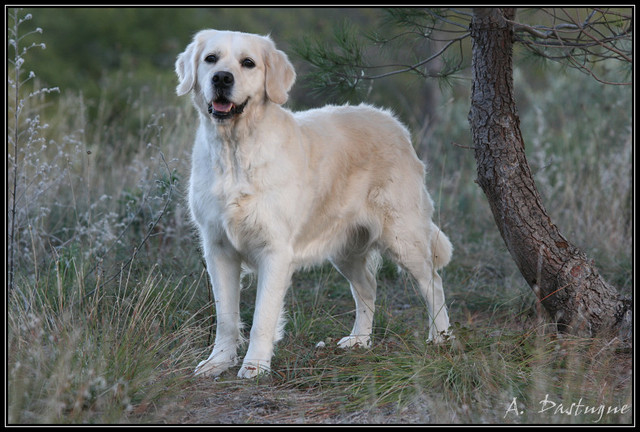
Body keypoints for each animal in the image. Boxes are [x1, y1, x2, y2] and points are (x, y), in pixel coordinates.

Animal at [175, 29, 452, 378]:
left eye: (248, 63)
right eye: (211, 59)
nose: (222, 78)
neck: (234, 150)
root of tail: (394, 123)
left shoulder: (275, 250)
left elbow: (262, 317)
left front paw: (255, 366)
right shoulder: (218, 249)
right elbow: (226, 316)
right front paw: (219, 361)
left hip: (404, 237)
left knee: (433, 282)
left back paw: (440, 337)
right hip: (346, 247)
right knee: (368, 287)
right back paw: (360, 340)